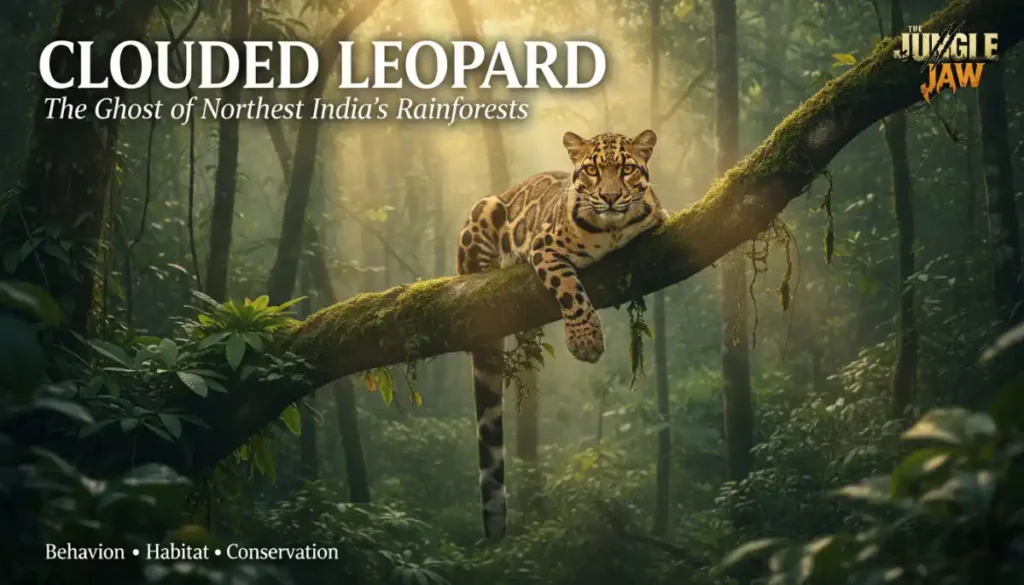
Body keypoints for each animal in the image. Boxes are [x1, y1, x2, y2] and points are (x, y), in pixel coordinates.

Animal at [455, 129, 669, 541]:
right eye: (592, 170)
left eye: (627, 169)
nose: (610, 197)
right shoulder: (545, 248)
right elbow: (570, 289)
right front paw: (585, 341)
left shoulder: (661, 220)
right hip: (483, 212)